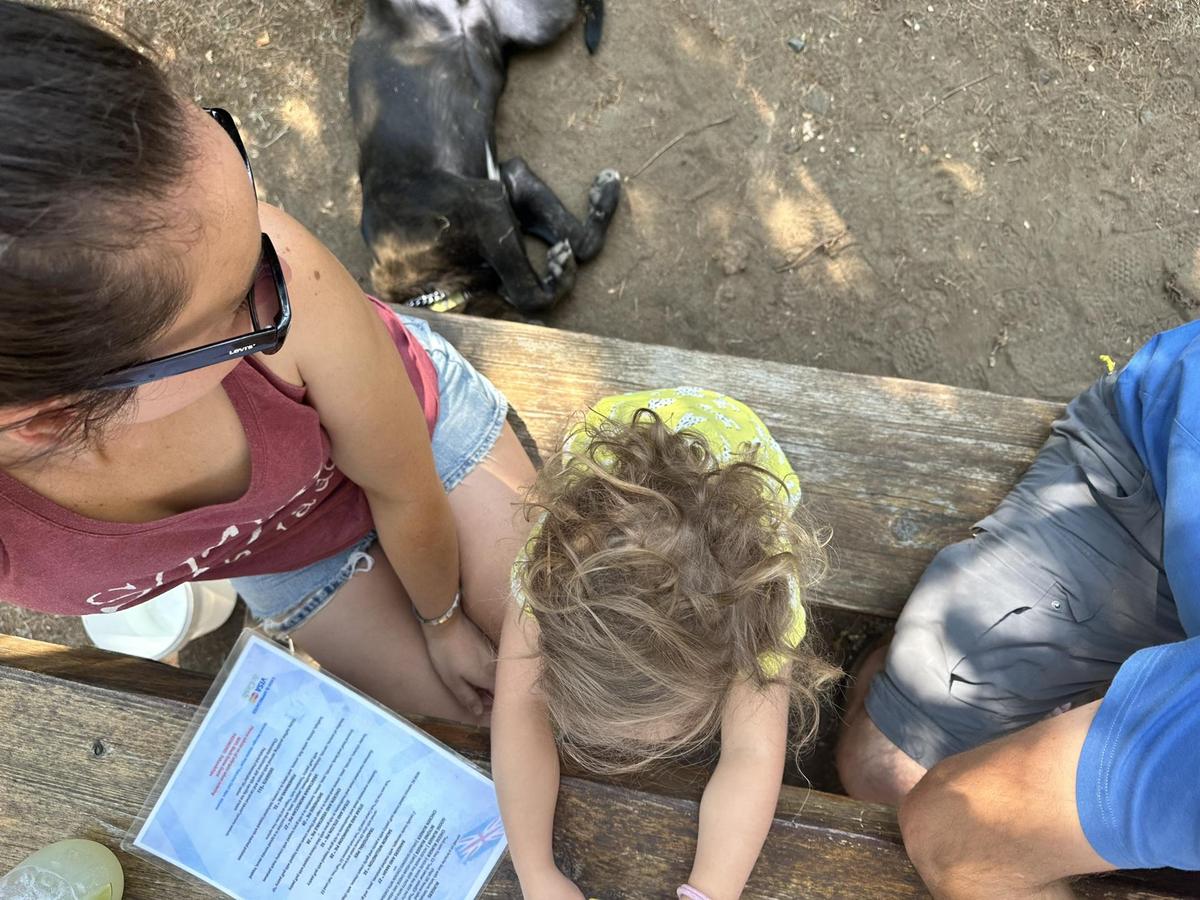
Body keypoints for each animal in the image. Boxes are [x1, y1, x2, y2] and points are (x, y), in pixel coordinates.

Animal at [349, 0, 621, 315]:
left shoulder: (483, 203)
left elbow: (525, 292)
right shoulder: (510, 181)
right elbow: (580, 244)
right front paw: (602, 201)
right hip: (535, 22)